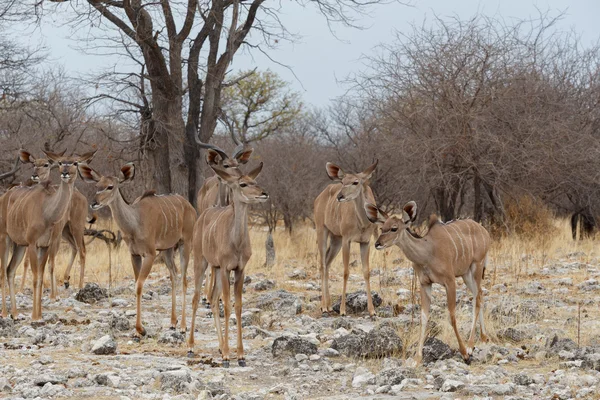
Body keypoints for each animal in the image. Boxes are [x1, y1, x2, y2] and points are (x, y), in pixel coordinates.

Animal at [77, 162, 195, 338]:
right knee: (174, 275)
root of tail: (191, 208)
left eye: (110, 186)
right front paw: (139, 330)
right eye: (97, 186)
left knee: (185, 279)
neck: (135, 223)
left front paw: (140, 329)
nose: (94, 203)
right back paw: (173, 323)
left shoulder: (150, 254)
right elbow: (136, 284)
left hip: (185, 243)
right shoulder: (134, 254)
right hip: (167, 249)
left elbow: (139, 286)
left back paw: (182, 326)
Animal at [186, 162, 268, 366]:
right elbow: (228, 306)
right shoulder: (225, 268)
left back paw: (220, 346)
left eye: (254, 180)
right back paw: (191, 347)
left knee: (213, 300)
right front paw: (226, 356)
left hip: (214, 267)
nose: (264, 193)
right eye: (243, 184)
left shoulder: (240, 269)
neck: (236, 242)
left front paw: (240, 355)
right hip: (201, 261)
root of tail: (202, 216)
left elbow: (237, 306)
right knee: (196, 298)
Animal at [314, 161, 376, 318]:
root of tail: (318, 198)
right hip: (322, 230)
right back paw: (324, 307)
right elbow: (346, 272)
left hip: (335, 239)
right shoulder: (347, 240)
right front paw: (342, 310)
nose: (340, 196)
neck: (362, 222)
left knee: (327, 262)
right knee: (322, 264)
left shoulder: (365, 242)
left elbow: (366, 272)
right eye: (342, 182)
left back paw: (329, 306)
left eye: (356, 182)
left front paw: (372, 310)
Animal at [368, 202, 490, 364]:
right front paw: (417, 359)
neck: (428, 252)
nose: (377, 244)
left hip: (477, 266)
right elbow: (424, 318)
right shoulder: (425, 283)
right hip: (466, 274)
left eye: (394, 228)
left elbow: (452, 317)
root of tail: (485, 232)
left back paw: (470, 346)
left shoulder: (450, 281)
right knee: (480, 295)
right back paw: (483, 337)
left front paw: (464, 353)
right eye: (382, 228)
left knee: (477, 299)